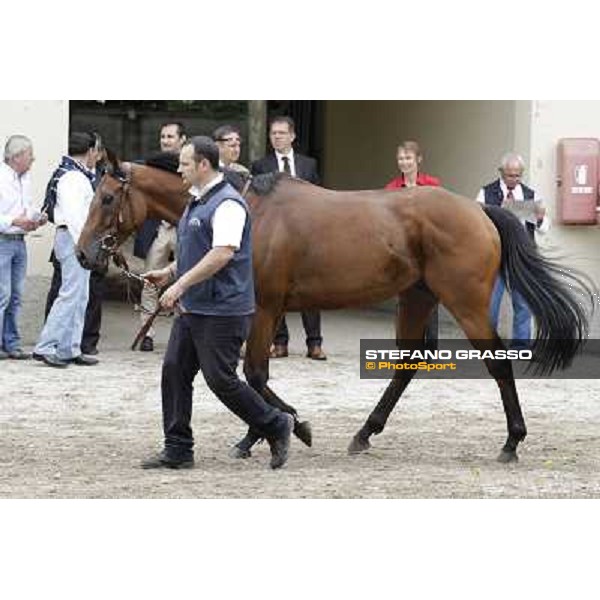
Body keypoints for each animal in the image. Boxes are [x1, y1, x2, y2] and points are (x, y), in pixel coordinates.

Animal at [78, 156, 596, 464]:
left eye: (107, 197)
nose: (84, 255)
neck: (250, 211)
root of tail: (480, 211)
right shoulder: (261, 313)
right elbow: (250, 377)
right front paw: (259, 434)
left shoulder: (265, 308)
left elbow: (255, 375)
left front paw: (291, 427)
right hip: (417, 296)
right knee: (409, 361)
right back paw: (365, 433)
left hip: (465, 300)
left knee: (498, 362)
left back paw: (511, 441)